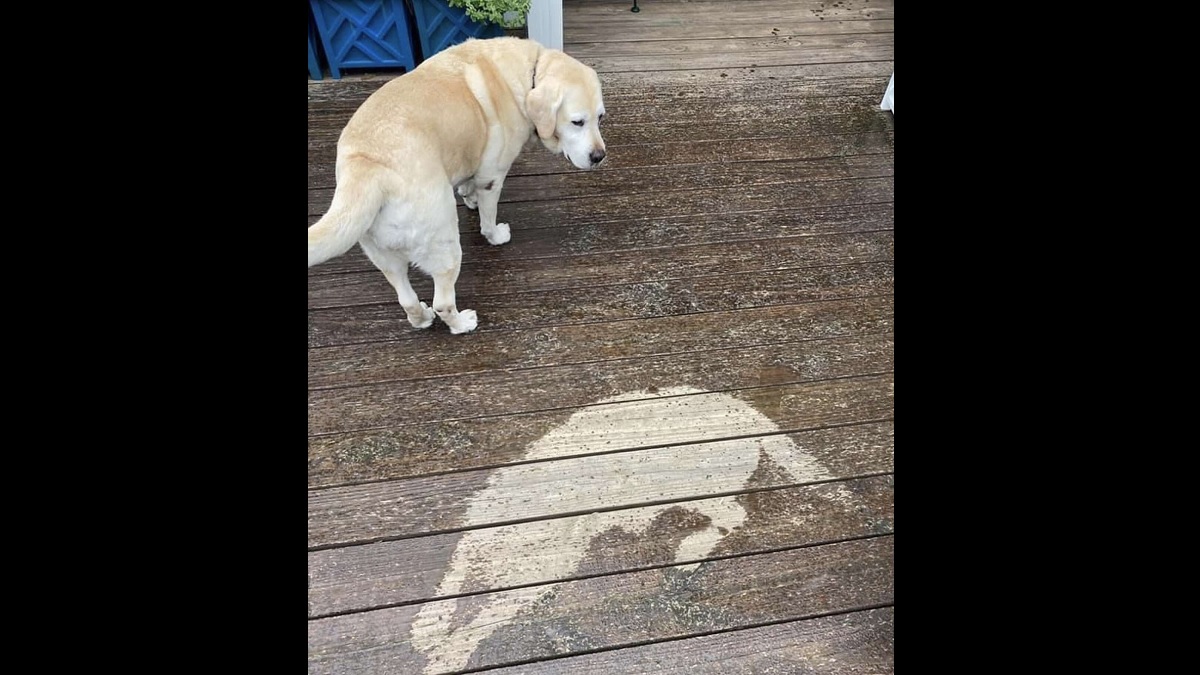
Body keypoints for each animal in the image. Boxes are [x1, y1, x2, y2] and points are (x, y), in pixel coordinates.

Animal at [309, 38, 609, 331]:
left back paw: (421, 317)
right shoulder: (492, 176)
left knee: (406, 298)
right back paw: (462, 323)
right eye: (577, 122)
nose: (599, 156)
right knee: (443, 301)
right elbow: (488, 217)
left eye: (600, 117)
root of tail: (367, 166)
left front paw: (468, 197)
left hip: (383, 255)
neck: (528, 74)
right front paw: (495, 234)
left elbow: (467, 183)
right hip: (444, 243)